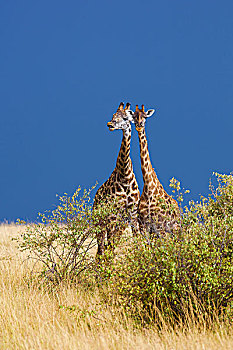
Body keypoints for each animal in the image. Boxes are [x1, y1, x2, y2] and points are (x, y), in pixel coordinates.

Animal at [93, 102, 140, 256]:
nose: (110, 124)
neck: (125, 174)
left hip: (119, 222)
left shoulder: (132, 213)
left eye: (125, 118)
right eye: (113, 115)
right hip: (100, 222)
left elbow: (138, 240)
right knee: (101, 250)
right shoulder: (113, 214)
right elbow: (108, 248)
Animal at [127, 103, 180, 235]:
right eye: (134, 117)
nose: (140, 125)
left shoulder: (160, 225)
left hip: (175, 229)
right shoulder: (144, 225)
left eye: (145, 117)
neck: (148, 187)